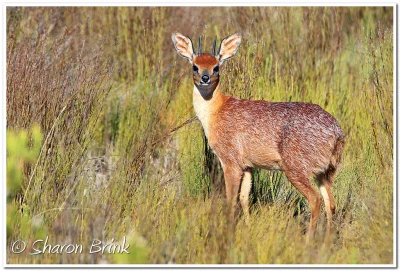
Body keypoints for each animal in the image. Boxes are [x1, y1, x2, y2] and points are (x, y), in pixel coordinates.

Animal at [171, 31, 344, 242]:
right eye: (195, 66)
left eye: (216, 67)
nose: (204, 78)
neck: (216, 112)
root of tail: (337, 132)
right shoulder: (248, 166)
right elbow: (244, 199)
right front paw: (247, 227)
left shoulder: (230, 161)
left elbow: (230, 199)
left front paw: (228, 232)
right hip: (325, 172)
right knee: (331, 203)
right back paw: (327, 241)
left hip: (296, 169)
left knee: (315, 199)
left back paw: (308, 240)